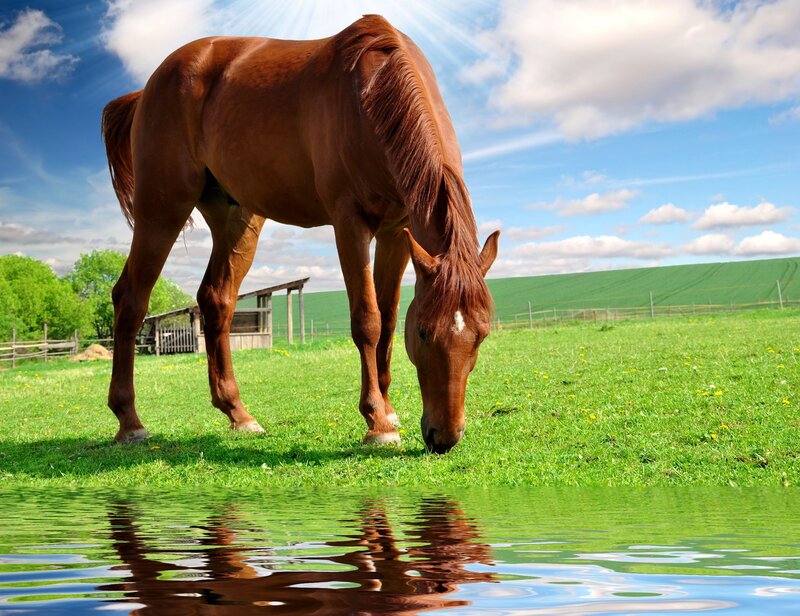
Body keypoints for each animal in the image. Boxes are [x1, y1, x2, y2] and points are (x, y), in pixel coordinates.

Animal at [101, 14, 499, 454]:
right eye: (425, 332)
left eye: (481, 336)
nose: (444, 437)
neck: (371, 94)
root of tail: (147, 88)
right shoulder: (349, 222)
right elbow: (368, 320)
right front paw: (378, 422)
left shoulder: (397, 230)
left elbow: (390, 319)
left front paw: (389, 408)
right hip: (162, 209)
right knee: (130, 299)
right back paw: (129, 421)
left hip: (236, 219)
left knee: (216, 300)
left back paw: (238, 414)